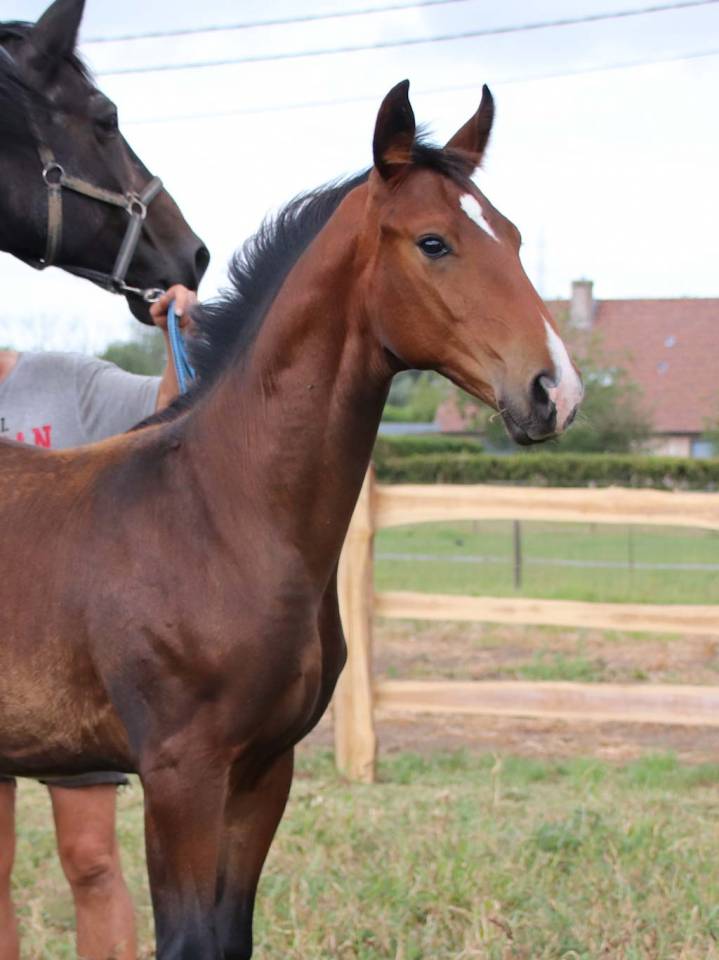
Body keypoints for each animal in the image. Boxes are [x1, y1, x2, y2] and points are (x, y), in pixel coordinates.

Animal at [0, 80, 583, 958]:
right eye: (434, 242)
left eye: (511, 236)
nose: (555, 391)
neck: (218, 515)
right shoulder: (181, 774)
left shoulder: (262, 771)